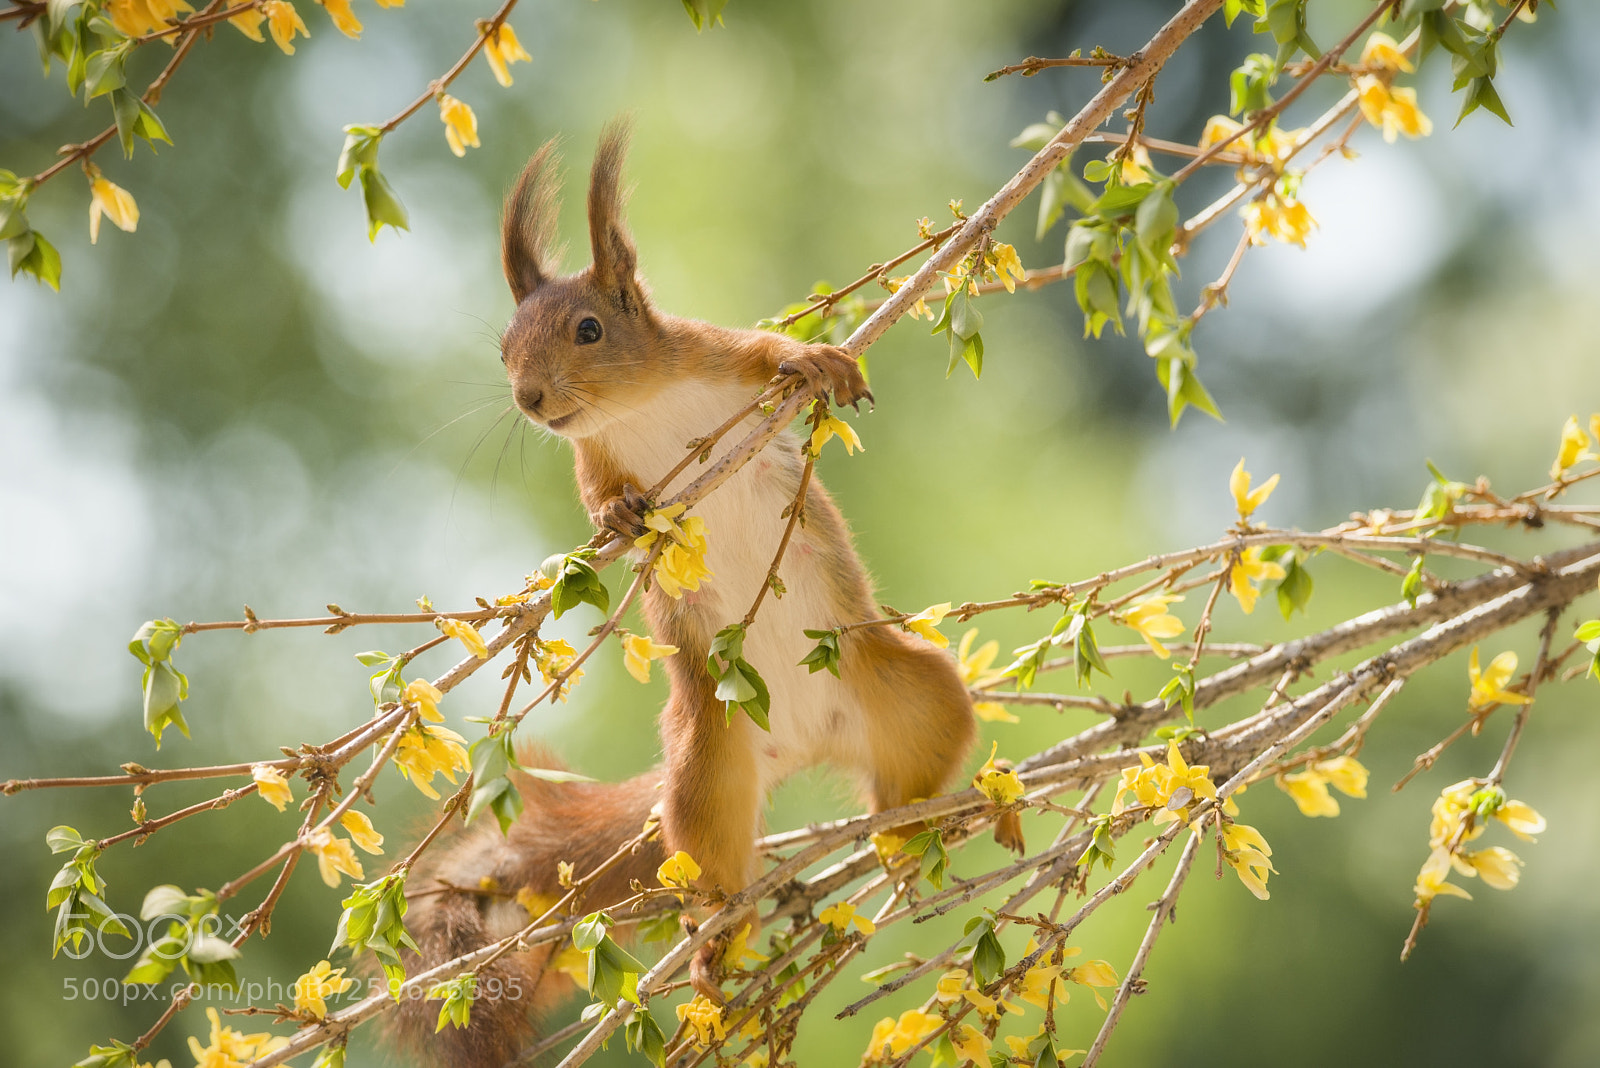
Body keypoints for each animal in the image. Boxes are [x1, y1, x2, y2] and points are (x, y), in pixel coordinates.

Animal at [391, 123, 979, 1068]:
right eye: (504, 348)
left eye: (590, 328)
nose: (530, 399)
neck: (641, 405)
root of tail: (806, 744)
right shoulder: (592, 455)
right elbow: (598, 500)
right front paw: (620, 516)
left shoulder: (716, 353)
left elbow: (766, 353)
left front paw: (817, 358)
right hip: (706, 778)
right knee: (715, 877)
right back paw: (718, 948)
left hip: (913, 690)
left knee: (912, 771)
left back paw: (909, 832)